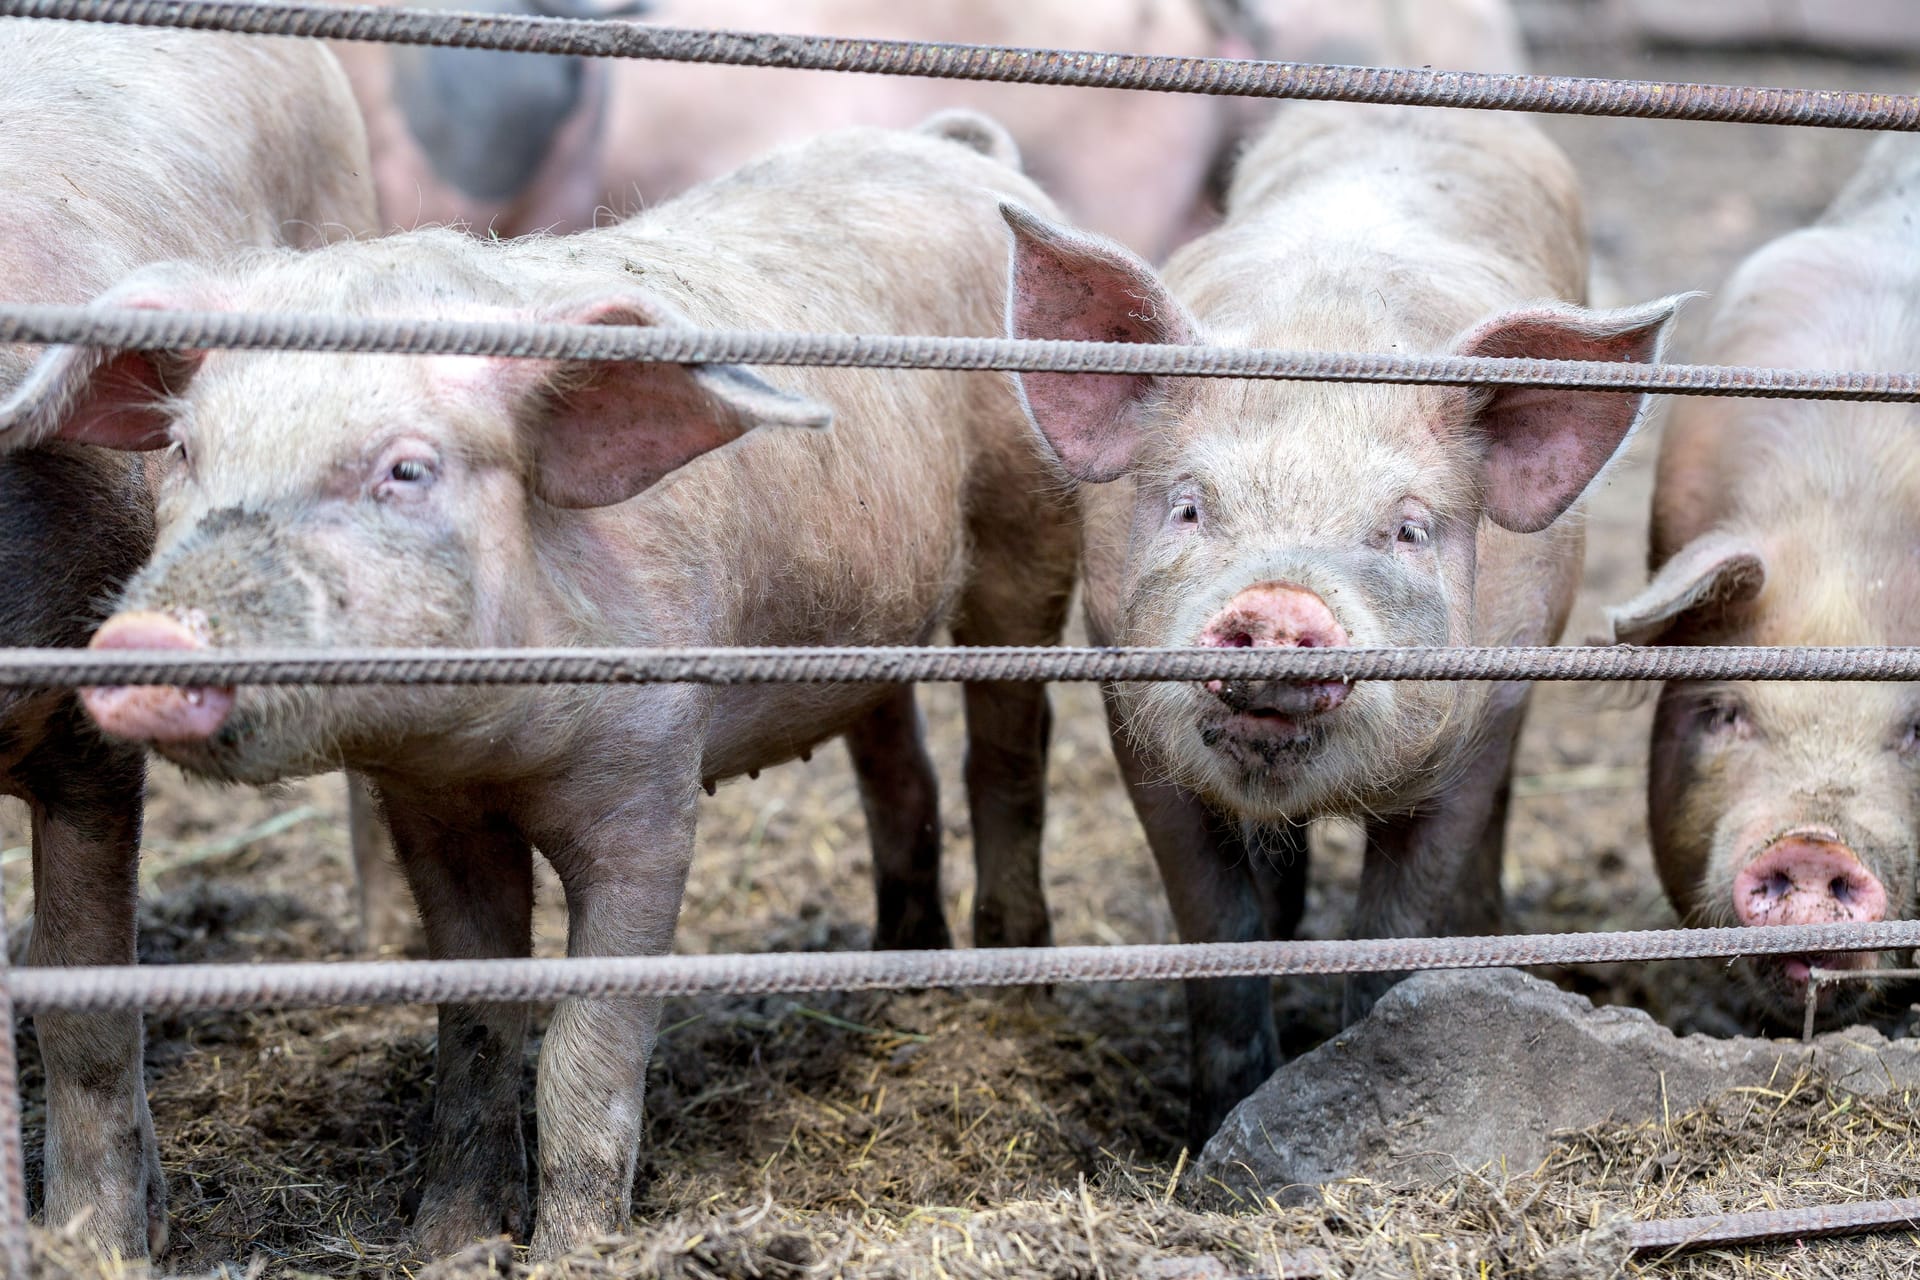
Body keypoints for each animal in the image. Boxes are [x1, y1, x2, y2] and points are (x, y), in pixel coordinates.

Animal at [998, 80, 1674, 1143]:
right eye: (1189, 506)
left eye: (1406, 529)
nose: (1279, 603)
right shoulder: (1125, 706)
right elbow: (1216, 930)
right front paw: (1220, 1118)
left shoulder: (1486, 713)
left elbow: (1397, 924)